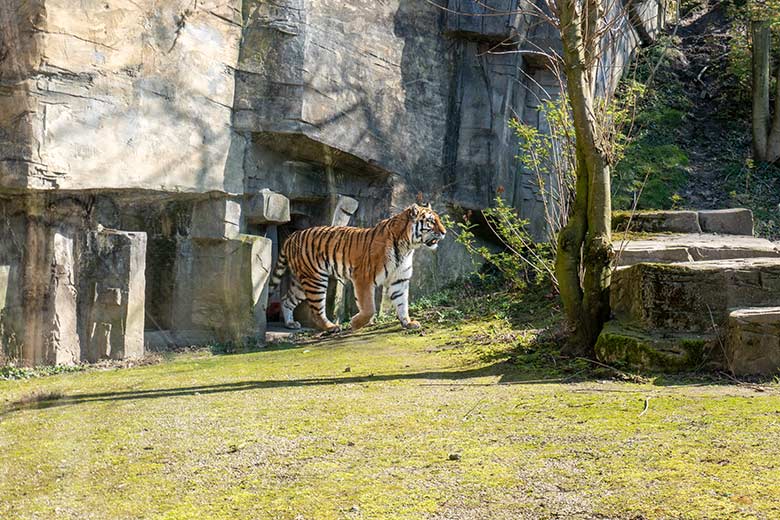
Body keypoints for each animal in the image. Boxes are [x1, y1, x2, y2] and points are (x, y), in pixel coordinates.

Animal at [272, 203, 448, 334]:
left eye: (438, 220)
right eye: (431, 222)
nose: (445, 232)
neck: (407, 247)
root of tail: (292, 236)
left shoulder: (399, 279)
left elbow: (402, 303)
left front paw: (408, 323)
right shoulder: (363, 278)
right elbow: (369, 308)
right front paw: (355, 324)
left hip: (302, 281)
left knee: (286, 300)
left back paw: (290, 323)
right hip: (315, 279)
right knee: (316, 310)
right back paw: (331, 327)